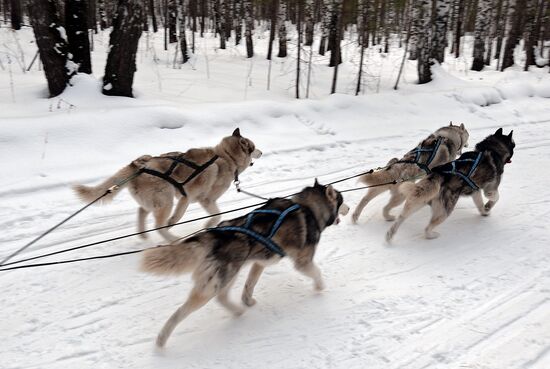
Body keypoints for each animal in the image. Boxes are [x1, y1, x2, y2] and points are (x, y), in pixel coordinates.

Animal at [74, 128, 262, 240]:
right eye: (253, 147)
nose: (261, 152)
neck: (226, 156)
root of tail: (138, 165)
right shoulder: (199, 199)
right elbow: (215, 215)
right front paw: (206, 225)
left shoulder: (188, 199)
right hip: (166, 201)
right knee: (158, 226)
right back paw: (172, 239)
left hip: (157, 200)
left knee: (142, 212)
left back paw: (144, 235)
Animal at [141, 180, 350, 346]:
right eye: (341, 200)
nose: (348, 208)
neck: (309, 208)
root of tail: (215, 235)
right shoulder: (303, 262)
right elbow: (317, 273)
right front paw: (319, 287)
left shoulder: (259, 262)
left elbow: (250, 285)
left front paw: (247, 301)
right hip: (217, 283)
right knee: (181, 312)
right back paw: (162, 339)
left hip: (228, 276)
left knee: (222, 298)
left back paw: (238, 310)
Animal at [388, 128, 516, 240]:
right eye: (513, 145)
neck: (492, 148)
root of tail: (438, 175)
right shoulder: (490, 189)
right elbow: (496, 198)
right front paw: (488, 206)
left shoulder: (475, 191)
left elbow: (480, 204)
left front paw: (484, 211)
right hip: (444, 211)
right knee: (427, 228)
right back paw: (432, 235)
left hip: (418, 202)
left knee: (401, 218)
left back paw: (389, 235)